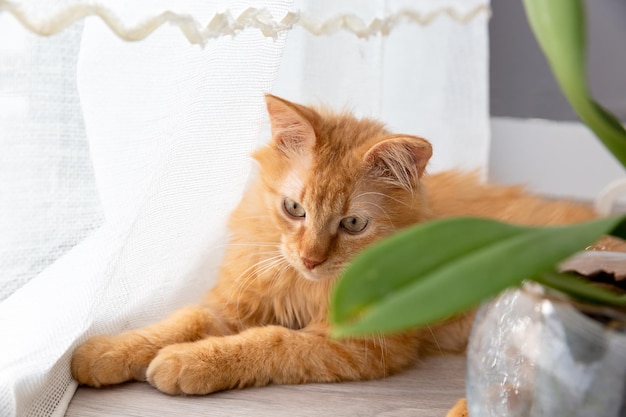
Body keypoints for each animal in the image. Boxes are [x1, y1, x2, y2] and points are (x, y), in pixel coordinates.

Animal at [69, 93, 596, 394]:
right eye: (294, 208)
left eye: (353, 223)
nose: (309, 258)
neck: (306, 287)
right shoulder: (233, 305)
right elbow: (178, 323)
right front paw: (103, 353)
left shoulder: (355, 342)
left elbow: (271, 343)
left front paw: (185, 362)